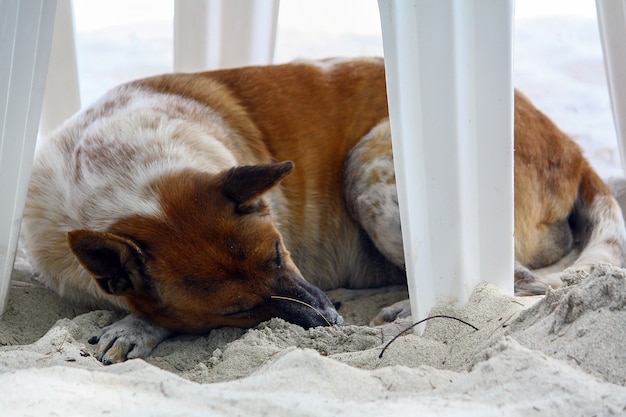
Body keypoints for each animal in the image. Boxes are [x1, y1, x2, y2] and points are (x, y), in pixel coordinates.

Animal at [20, 57, 624, 362]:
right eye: (239, 310)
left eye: (278, 253)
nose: (332, 323)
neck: (117, 176)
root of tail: (575, 151)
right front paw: (134, 323)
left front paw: (135, 326)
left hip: (370, 168)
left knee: (518, 283)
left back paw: (404, 310)